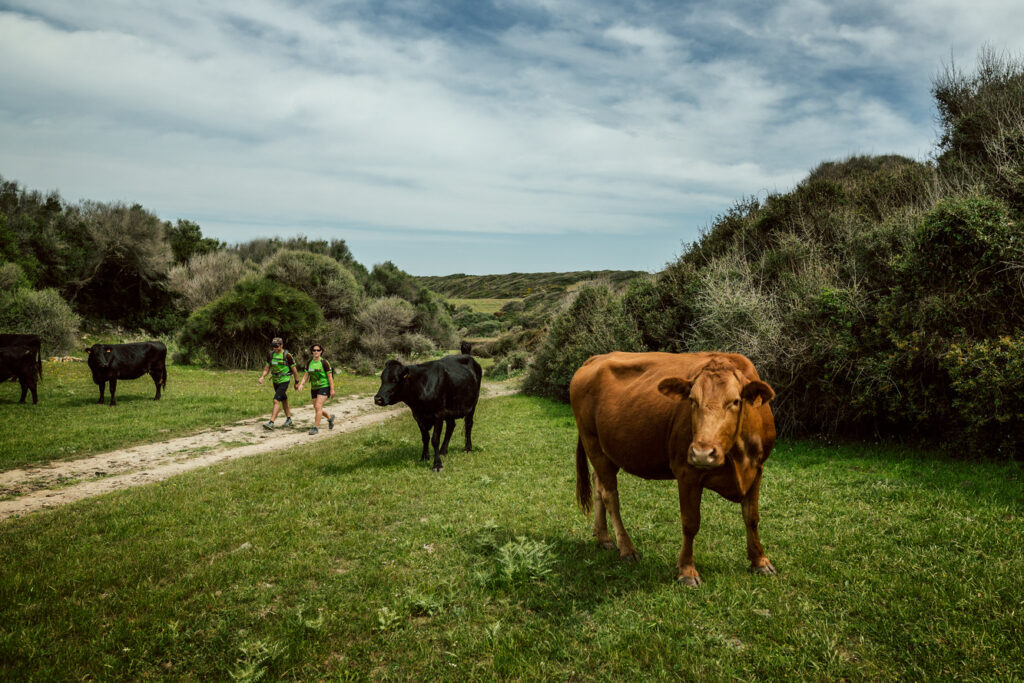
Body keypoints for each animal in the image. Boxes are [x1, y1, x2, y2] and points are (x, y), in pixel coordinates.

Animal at [573, 352, 778, 589]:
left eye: (735, 401)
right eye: (692, 400)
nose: (702, 453)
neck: (738, 456)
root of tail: (596, 358)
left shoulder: (757, 469)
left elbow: (751, 517)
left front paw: (760, 561)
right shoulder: (687, 473)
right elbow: (690, 523)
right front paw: (687, 571)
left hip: (605, 453)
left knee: (598, 486)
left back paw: (603, 537)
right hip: (593, 443)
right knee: (610, 497)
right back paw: (626, 548)